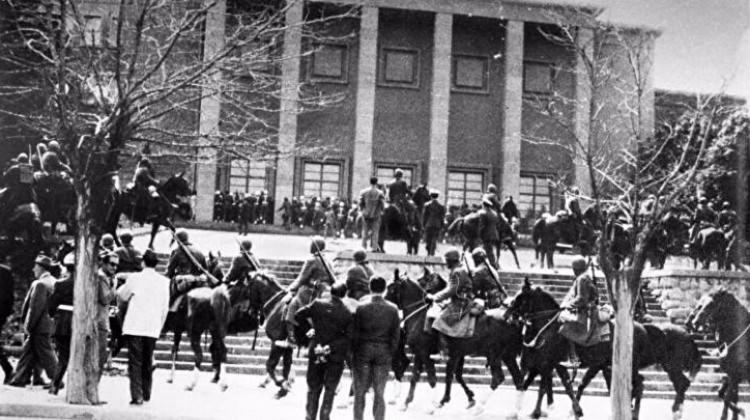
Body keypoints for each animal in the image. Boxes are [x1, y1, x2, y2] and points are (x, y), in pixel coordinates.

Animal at [512, 278, 704, 420]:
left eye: (520, 299)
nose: (511, 315)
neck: (550, 326)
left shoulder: (549, 362)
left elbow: (548, 385)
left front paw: (539, 411)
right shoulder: (569, 364)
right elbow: (570, 385)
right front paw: (574, 410)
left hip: (664, 366)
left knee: (655, 384)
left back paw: (667, 411)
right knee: (665, 384)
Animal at [692, 288, 750, 420]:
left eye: (711, 304)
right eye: (700, 304)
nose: (695, 322)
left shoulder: (735, 375)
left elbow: (728, 398)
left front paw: (736, 413)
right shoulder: (732, 375)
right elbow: (724, 394)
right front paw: (738, 413)